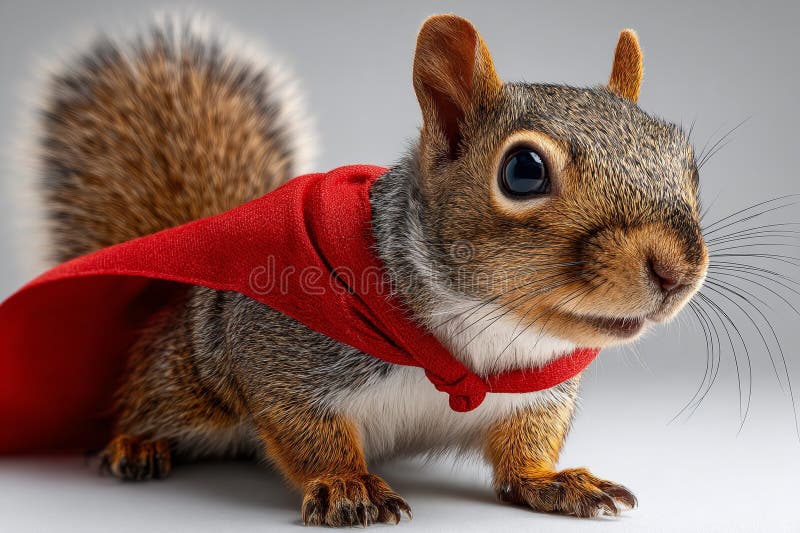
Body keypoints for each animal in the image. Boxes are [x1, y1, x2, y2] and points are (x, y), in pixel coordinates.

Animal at [33, 13, 708, 527]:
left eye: (688, 163)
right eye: (523, 171)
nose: (676, 269)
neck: (476, 333)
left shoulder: (537, 389)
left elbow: (526, 446)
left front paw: (555, 480)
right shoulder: (279, 352)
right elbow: (307, 430)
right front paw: (346, 484)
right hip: (188, 380)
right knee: (147, 399)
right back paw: (136, 441)